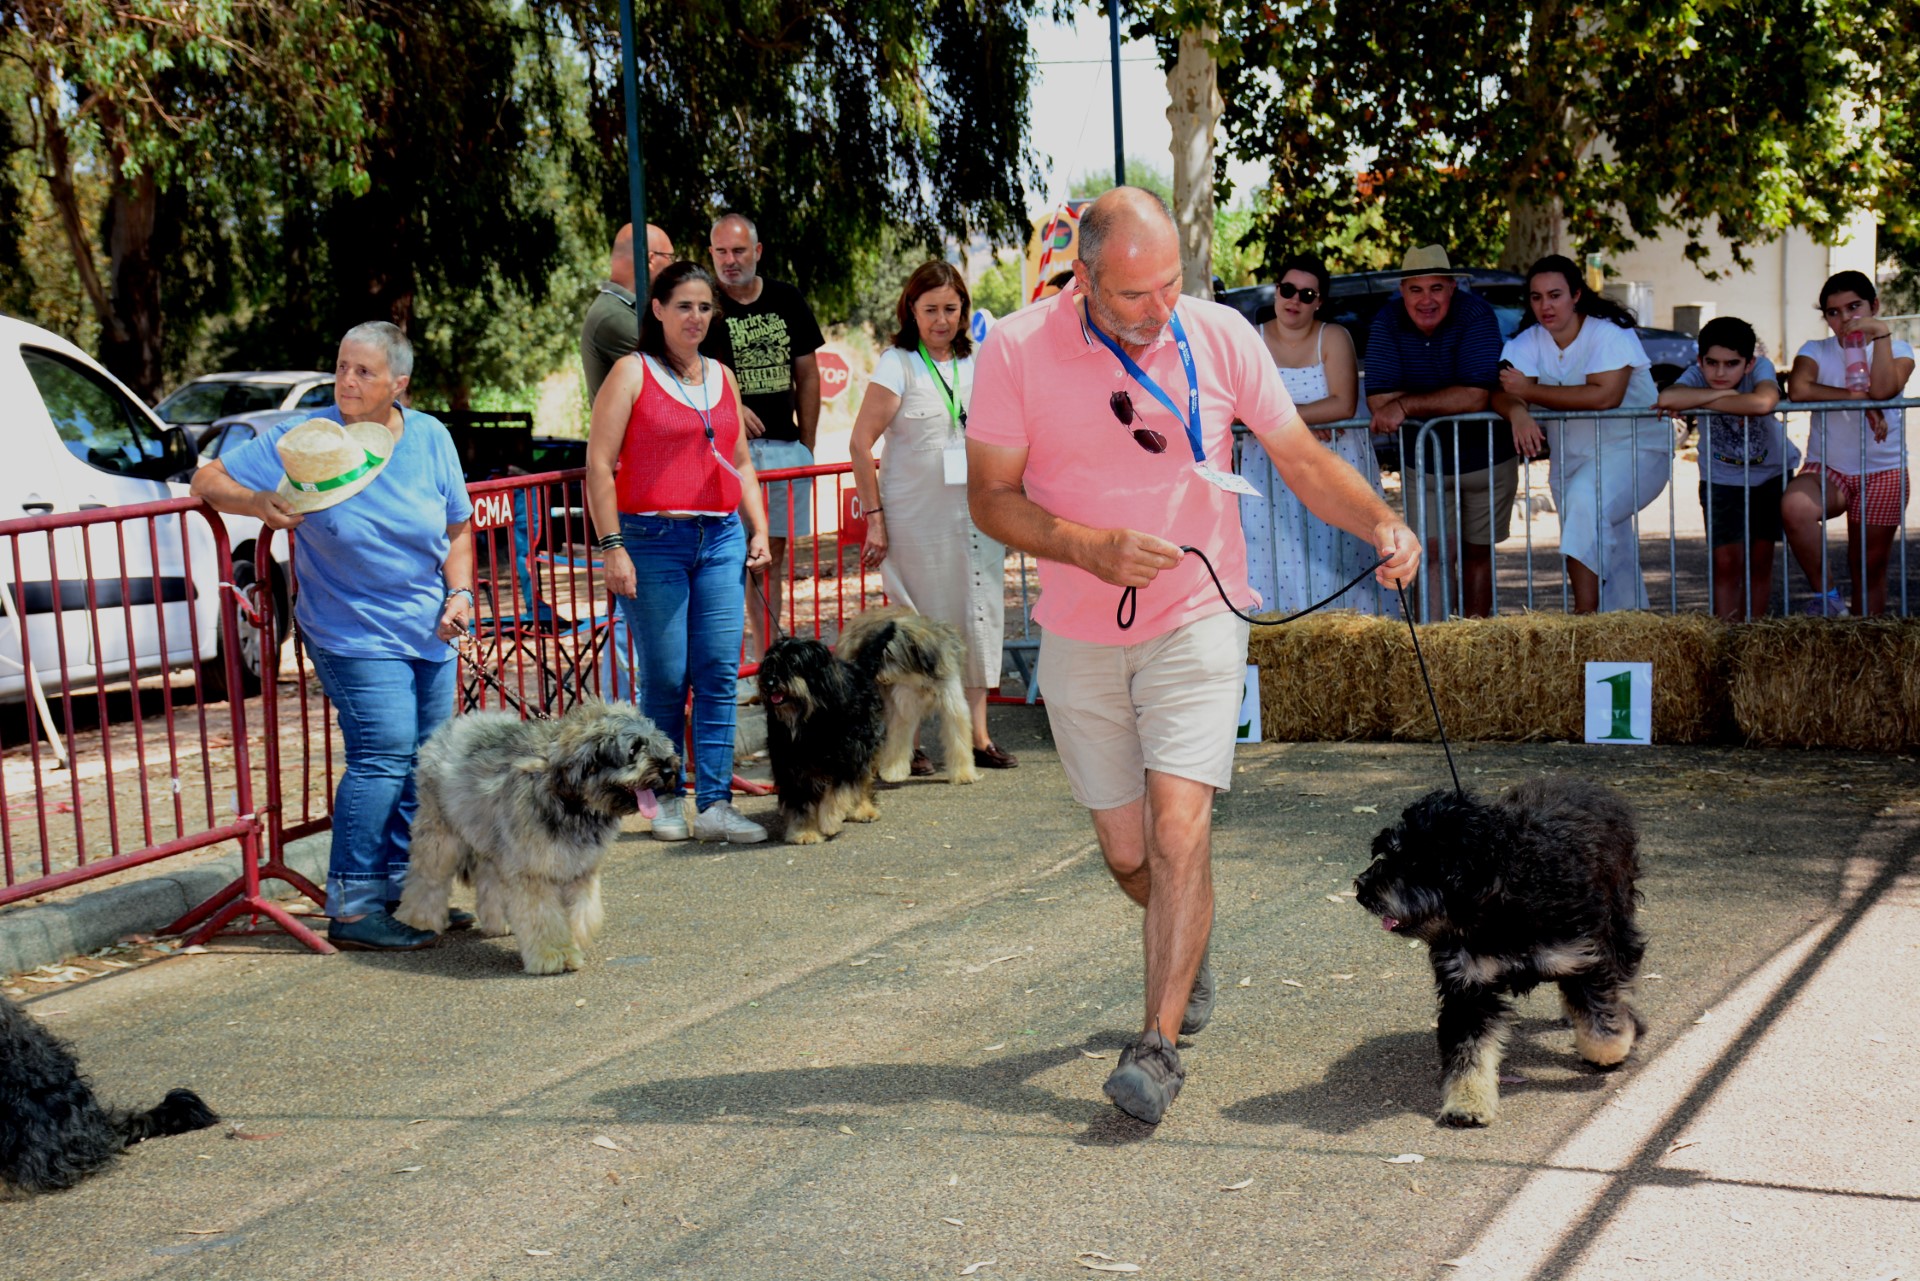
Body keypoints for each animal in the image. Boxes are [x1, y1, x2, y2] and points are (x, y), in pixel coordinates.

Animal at [393, 702, 679, 971]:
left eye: (656, 742)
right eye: (633, 750)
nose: (669, 770)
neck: (572, 800)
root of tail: (454, 724)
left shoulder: (579, 870)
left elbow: (582, 914)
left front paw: (573, 942)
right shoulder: (534, 871)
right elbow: (544, 917)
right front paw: (555, 954)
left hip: (492, 841)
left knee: (489, 881)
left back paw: (498, 921)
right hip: (441, 836)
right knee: (426, 879)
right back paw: (418, 921)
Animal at [752, 629, 894, 845]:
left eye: (793, 663)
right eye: (770, 664)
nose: (769, 683)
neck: (810, 718)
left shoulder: (847, 757)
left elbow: (837, 792)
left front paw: (829, 821)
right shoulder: (791, 766)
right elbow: (800, 803)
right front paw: (803, 832)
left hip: (867, 744)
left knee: (862, 781)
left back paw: (863, 809)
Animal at [1351, 775, 1651, 1129]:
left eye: (1414, 861)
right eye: (1387, 852)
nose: (1362, 891)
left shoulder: (1584, 956)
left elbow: (1602, 1019)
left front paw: (1613, 1047)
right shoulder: (1468, 987)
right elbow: (1470, 1051)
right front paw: (1466, 1102)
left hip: (1618, 919)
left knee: (1624, 970)